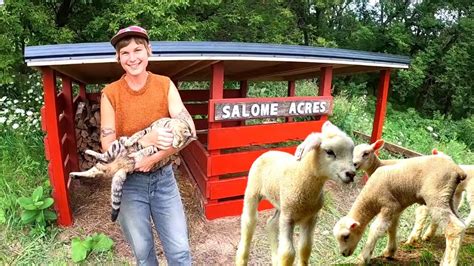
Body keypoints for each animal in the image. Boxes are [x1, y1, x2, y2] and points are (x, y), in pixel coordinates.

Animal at [235, 121, 354, 266]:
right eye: (329, 152)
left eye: (352, 152)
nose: (351, 174)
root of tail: (268, 152)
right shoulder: (288, 220)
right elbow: (288, 254)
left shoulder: (310, 218)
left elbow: (305, 248)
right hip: (253, 191)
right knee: (249, 223)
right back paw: (241, 259)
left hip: (282, 204)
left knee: (271, 224)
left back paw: (275, 259)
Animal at [334, 154, 466, 266]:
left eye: (346, 236)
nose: (343, 254)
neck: (370, 199)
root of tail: (457, 169)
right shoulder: (396, 208)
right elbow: (392, 228)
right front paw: (390, 251)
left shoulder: (389, 205)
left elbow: (376, 229)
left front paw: (363, 257)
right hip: (448, 197)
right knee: (461, 225)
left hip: (437, 195)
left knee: (454, 228)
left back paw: (448, 262)